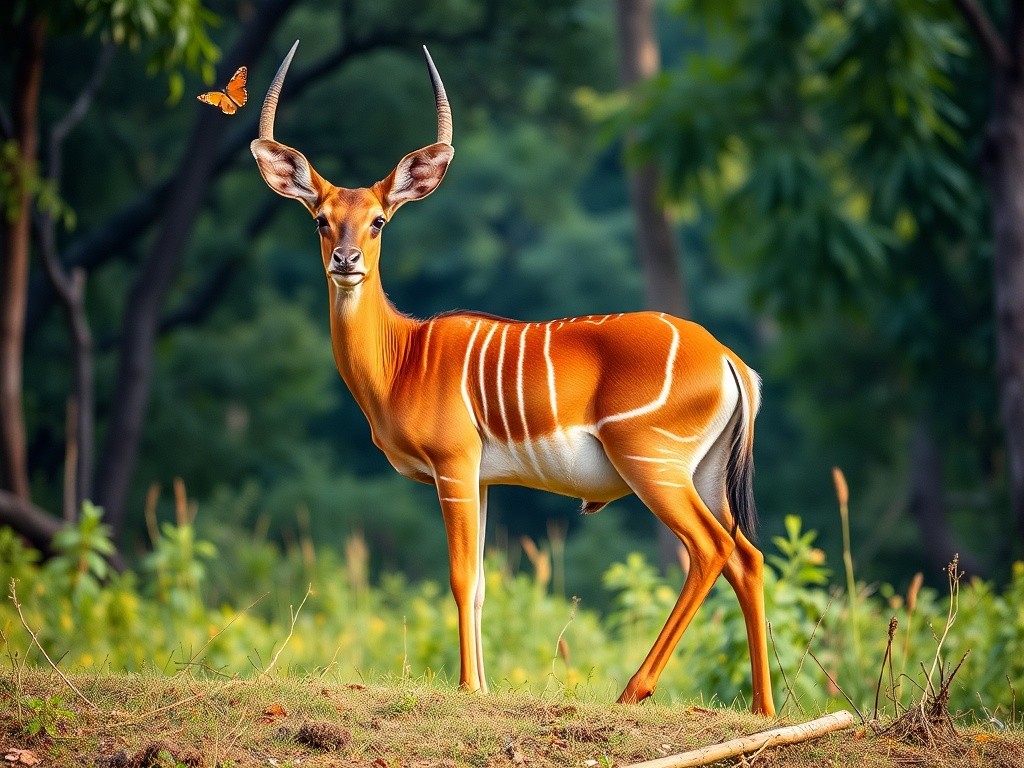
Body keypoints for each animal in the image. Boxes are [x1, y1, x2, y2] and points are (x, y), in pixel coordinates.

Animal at [251, 41, 775, 717]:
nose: (346, 261)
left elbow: (459, 576)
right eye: (319, 218)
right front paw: (478, 682)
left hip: (653, 466)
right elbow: (478, 584)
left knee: (710, 550)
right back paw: (764, 708)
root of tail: (731, 360)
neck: (404, 356)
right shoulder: (482, 479)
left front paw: (469, 686)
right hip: (704, 474)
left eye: (378, 221)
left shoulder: (453, 466)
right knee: (748, 557)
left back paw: (634, 690)